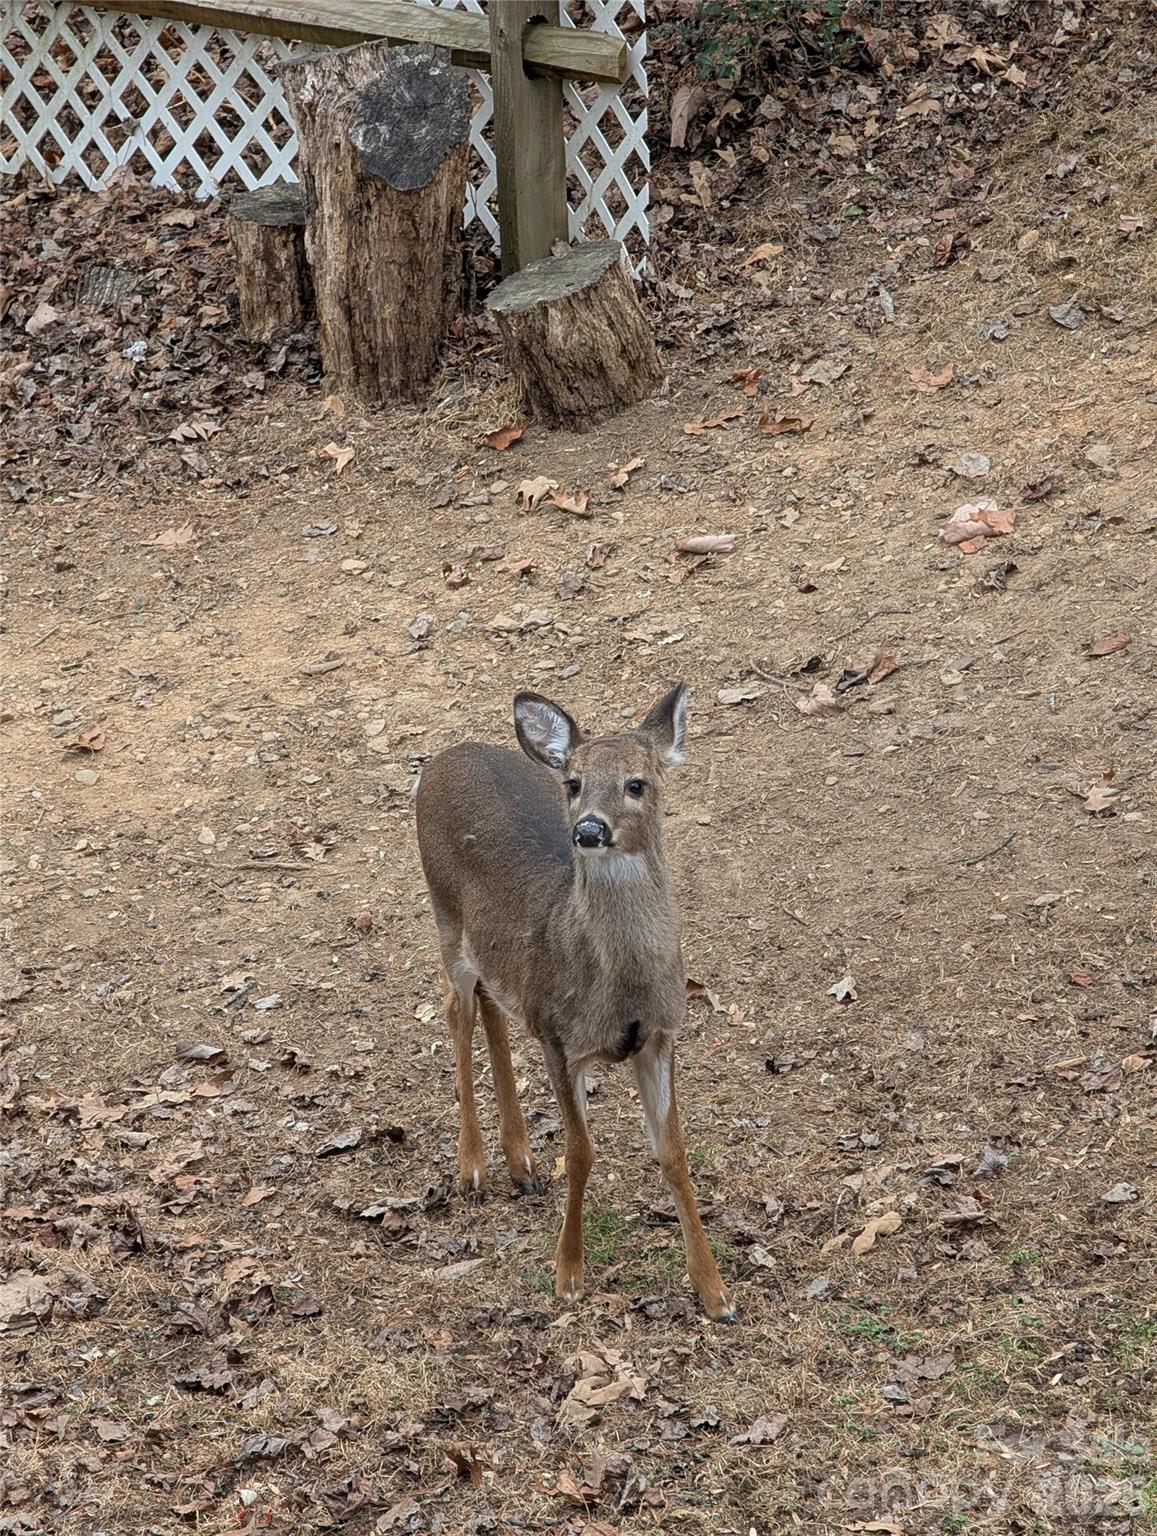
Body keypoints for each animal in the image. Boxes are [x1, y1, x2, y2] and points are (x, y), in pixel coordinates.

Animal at [414, 683, 735, 1321]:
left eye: (637, 782)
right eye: (574, 783)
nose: (588, 829)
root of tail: (441, 759)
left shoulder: (661, 1035)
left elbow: (673, 1152)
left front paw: (713, 1291)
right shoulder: (561, 1038)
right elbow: (581, 1153)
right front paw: (568, 1275)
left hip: (497, 955)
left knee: (491, 1006)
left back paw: (520, 1164)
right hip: (446, 920)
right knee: (457, 1012)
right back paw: (473, 1169)